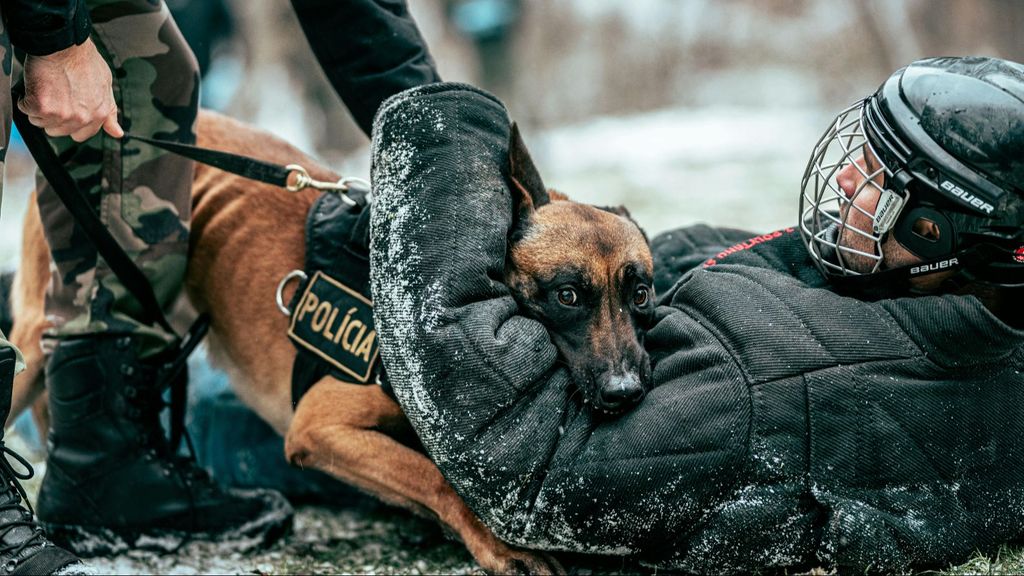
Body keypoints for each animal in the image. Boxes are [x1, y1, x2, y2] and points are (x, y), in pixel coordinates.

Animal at [9, 109, 655, 569]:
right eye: (566, 296)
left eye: (641, 294)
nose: (627, 392)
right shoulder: (319, 428)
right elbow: (432, 476)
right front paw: (490, 541)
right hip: (33, 346)